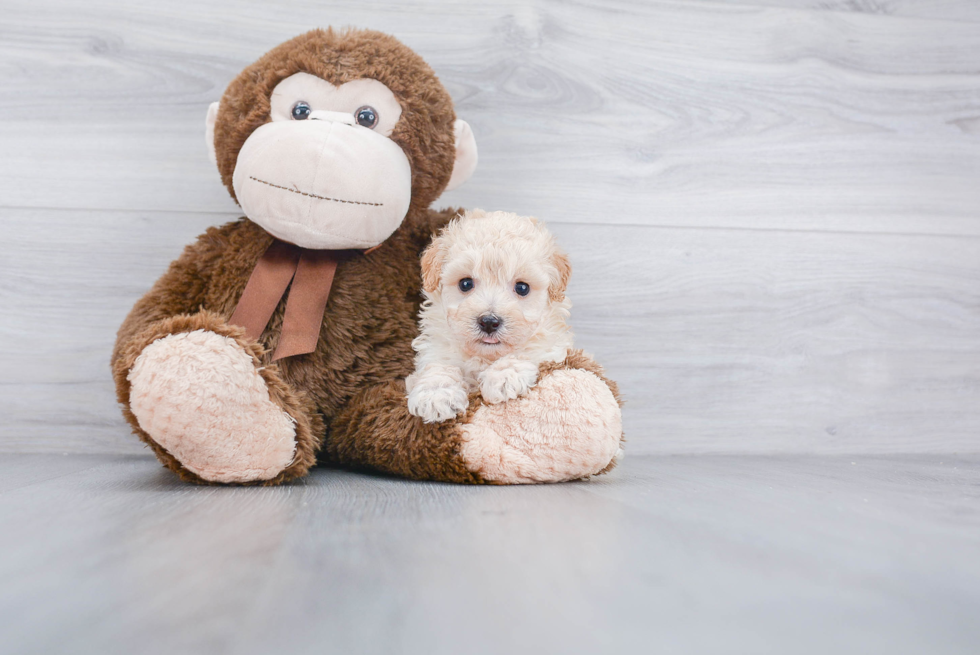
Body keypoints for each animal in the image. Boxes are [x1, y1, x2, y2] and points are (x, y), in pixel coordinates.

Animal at [406, 210, 576, 426]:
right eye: (465, 283)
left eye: (522, 288)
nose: (488, 322)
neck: (484, 357)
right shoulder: (437, 344)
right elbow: (438, 363)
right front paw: (436, 393)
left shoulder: (552, 344)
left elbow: (527, 350)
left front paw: (505, 375)